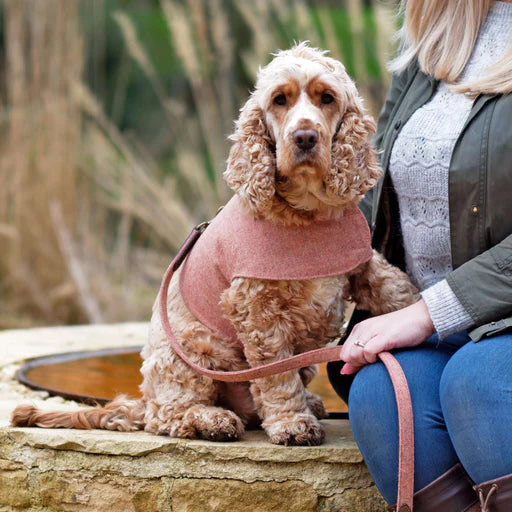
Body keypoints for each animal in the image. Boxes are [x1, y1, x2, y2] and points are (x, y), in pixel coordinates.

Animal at [12, 43, 418, 444]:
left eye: (327, 98)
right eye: (279, 100)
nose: (304, 137)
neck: (308, 212)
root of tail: (144, 400)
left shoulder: (361, 263)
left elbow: (394, 288)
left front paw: (418, 314)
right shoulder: (256, 306)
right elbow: (276, 374)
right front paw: (291, 423)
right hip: (188, 352)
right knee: (169, 415)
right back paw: (212, 420)